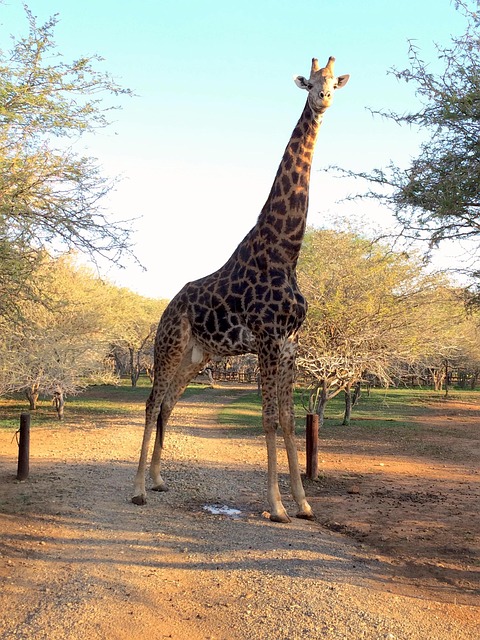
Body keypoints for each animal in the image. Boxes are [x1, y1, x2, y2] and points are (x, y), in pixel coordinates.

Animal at [132, 56, 349, 522]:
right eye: (310, 83)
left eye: (334, 84)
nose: (323, 99)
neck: (286, 250)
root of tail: (167, 307)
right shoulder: (267, 339)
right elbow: (268, 419)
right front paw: (277, 506)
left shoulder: (289, 343)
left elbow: (289, 419)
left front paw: (303, 504)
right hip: (169, 345)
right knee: (151, 402)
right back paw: (138, 489)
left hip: (197, 356)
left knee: (168, 404)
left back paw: (158, 480)